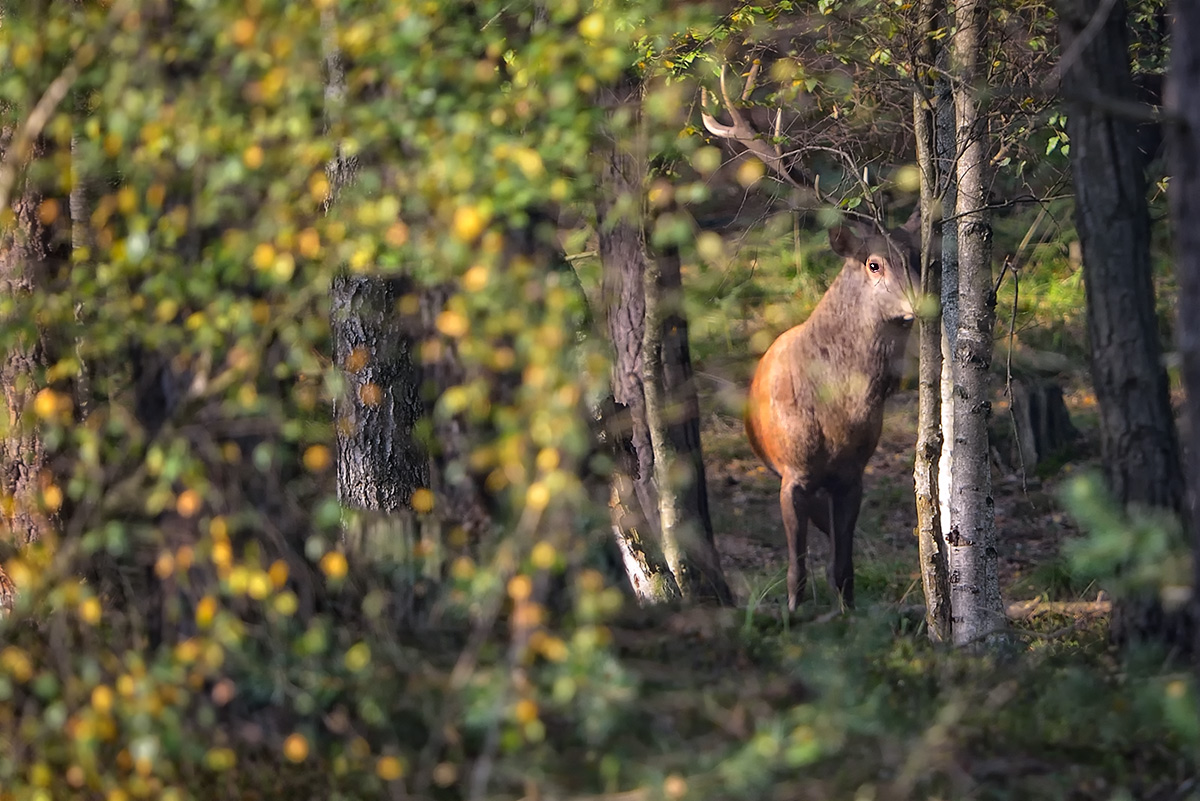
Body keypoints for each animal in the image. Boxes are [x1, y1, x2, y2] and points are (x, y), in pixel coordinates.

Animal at [700, 64, 926, 613]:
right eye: (874, 263)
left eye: (917, 257)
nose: (919, 304)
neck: (836, 412)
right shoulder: (791, 474)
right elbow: (795, 571)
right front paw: (793, 616)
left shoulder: (853, 474)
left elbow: (842, 567)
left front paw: (849, 616)